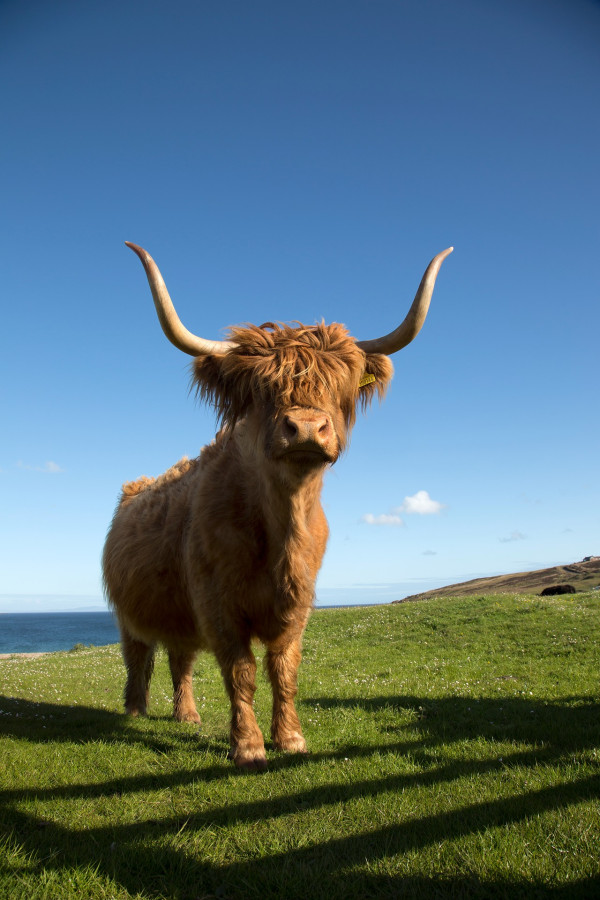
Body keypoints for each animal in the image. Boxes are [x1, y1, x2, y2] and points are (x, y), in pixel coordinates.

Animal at [103, 239, 452, 768]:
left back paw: (187, 716)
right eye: (262, 390)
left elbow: (283, 669)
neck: (281, 531)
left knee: (181, 657)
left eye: (336, 386)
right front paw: (248, 747)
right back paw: (136, 711)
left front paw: (290, 738)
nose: (306, 427)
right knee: (139, 656)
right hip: (130, 615)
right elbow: (241, 672)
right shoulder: (218, 604)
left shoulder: (298, 603)